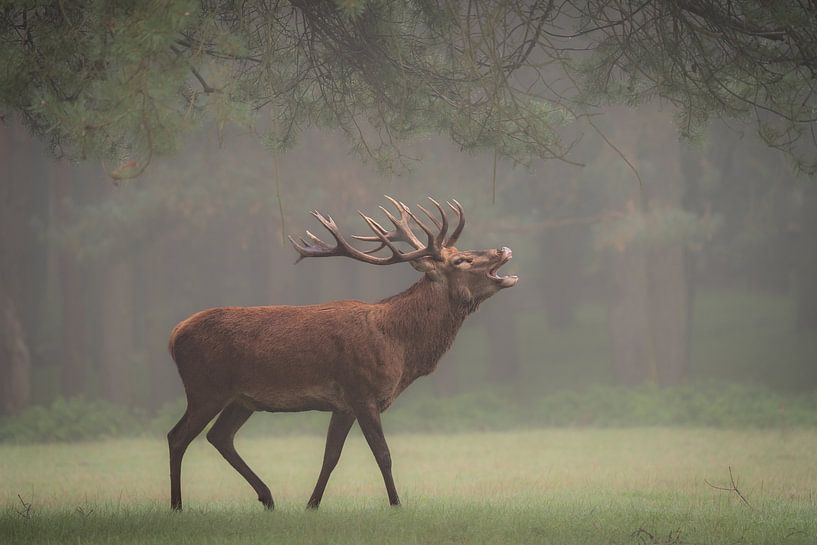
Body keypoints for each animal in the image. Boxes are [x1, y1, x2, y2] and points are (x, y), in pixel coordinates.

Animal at [166, 196, 518, 511]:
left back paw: (267, 497)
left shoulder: (344, 404)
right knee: (177, 436)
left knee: (219, 436)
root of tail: (173, 336)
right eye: (461, 261)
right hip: (205, 388)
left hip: (241, 399)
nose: (503, 249)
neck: (400, 346)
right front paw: (396, 504)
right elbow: (383, 454)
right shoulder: (362, 391)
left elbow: (330, 456)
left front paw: (312, 504)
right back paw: (177, 505)